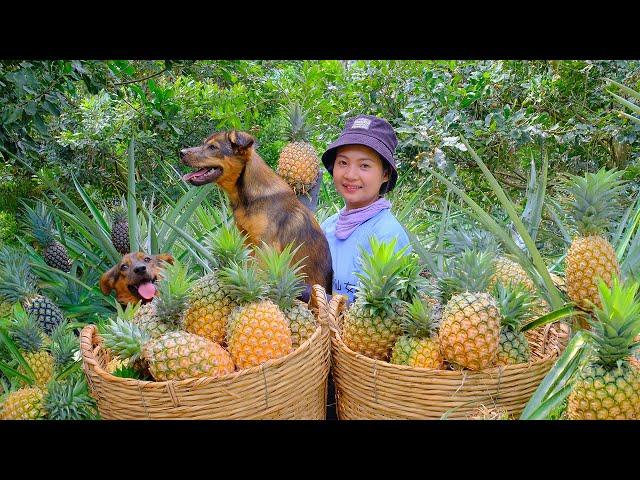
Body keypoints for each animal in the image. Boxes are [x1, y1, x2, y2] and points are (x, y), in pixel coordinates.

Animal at [178, 131, 332, 296]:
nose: (181, 153)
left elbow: (258, 273)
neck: (246, 197)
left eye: (213, 147)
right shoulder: (247, 243)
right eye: (204, 143)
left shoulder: (266, 247)